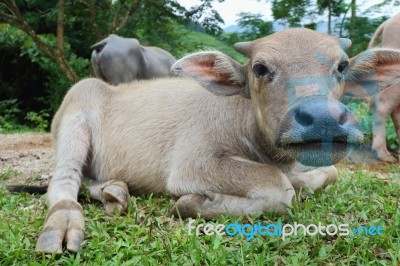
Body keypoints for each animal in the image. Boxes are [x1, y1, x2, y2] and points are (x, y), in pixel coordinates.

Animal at [9, 28, 400, 252]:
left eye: (342, 66)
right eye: (260, 68)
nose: (322, 118)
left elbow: (326, 174)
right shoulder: (193, 164)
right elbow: (279, 190)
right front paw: (193, 203)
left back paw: (114, 192)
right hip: (76, 117)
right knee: (63, 181)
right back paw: (62, 226)